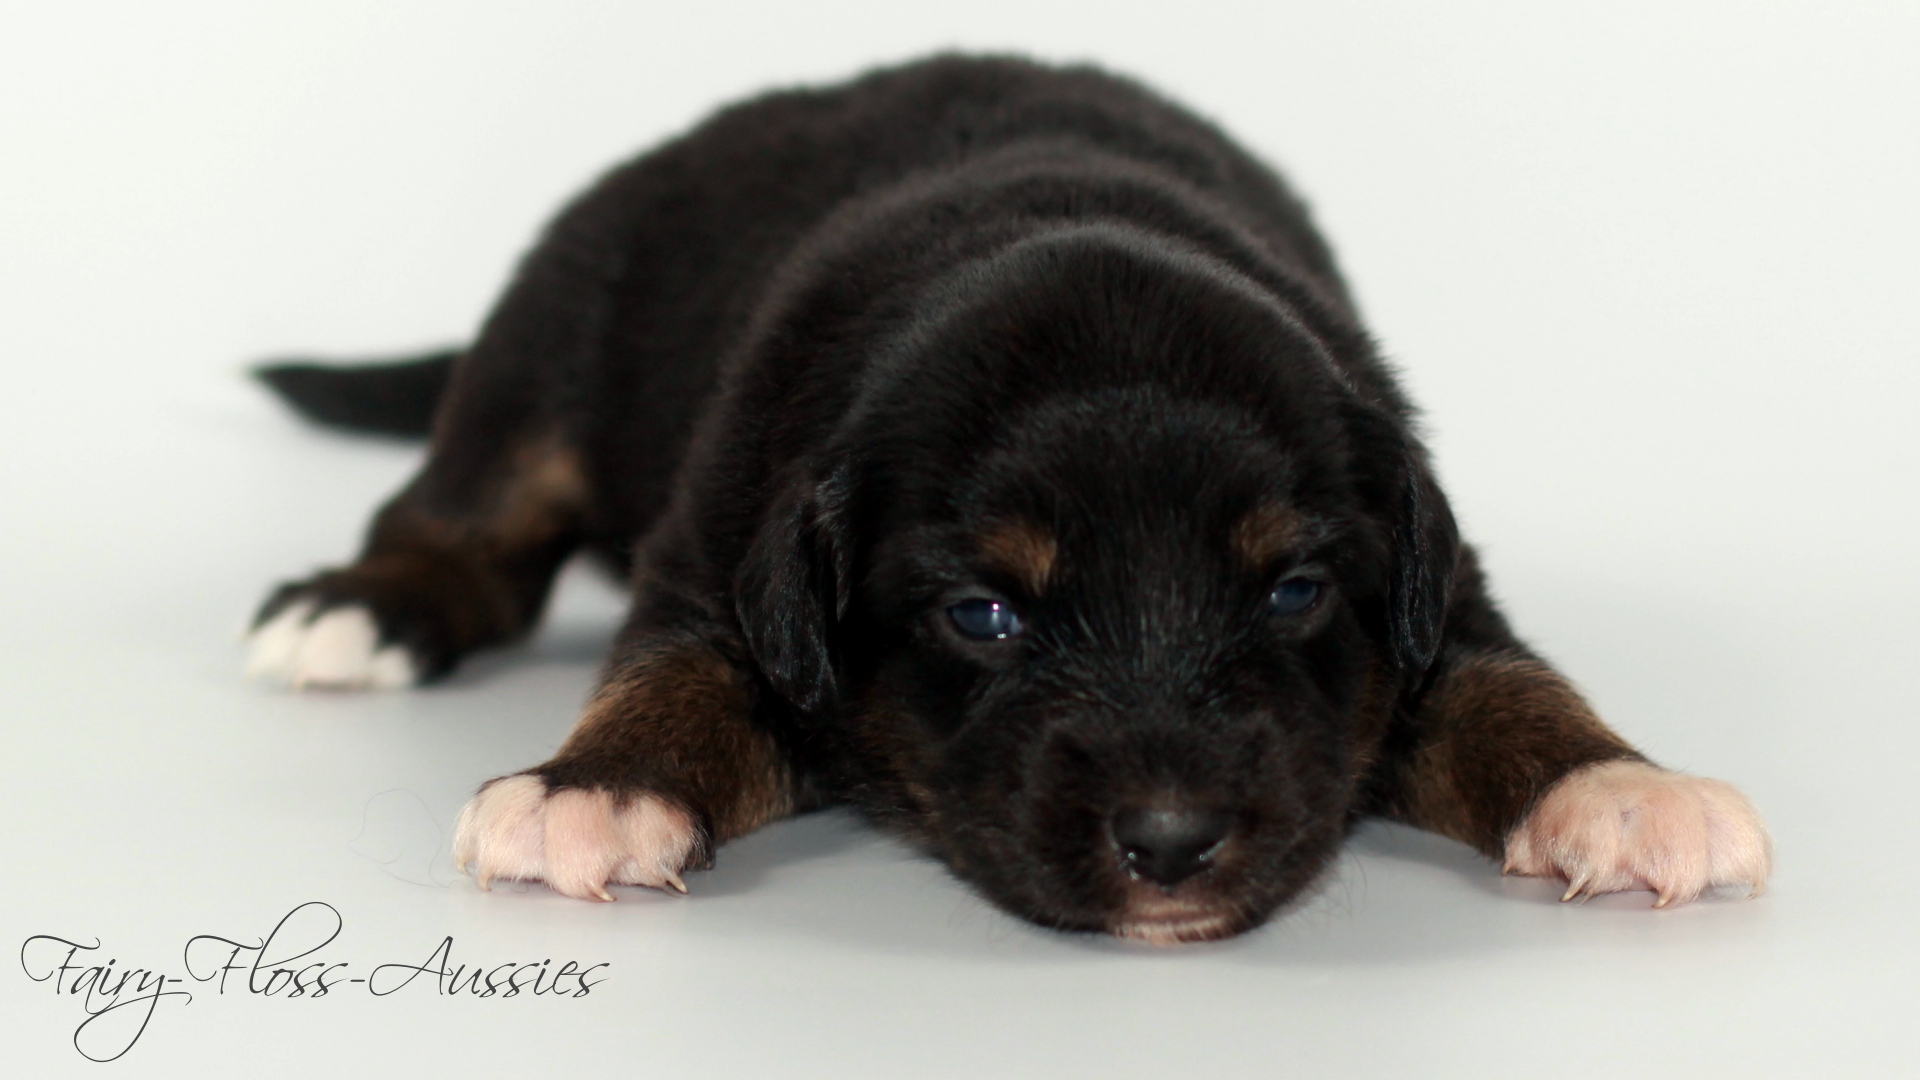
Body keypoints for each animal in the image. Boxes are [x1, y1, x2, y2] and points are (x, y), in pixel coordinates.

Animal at [246, 55, 1771, 944]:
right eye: (985, 616)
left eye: (1293, 593)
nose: (1173, 845)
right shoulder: (715, 553)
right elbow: (673, 675)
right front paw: (596, 790)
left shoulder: (1434, 597)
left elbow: (1507, 685)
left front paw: (1623, 789)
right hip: (554, 330)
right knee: (466, 521)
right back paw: (358, 611)